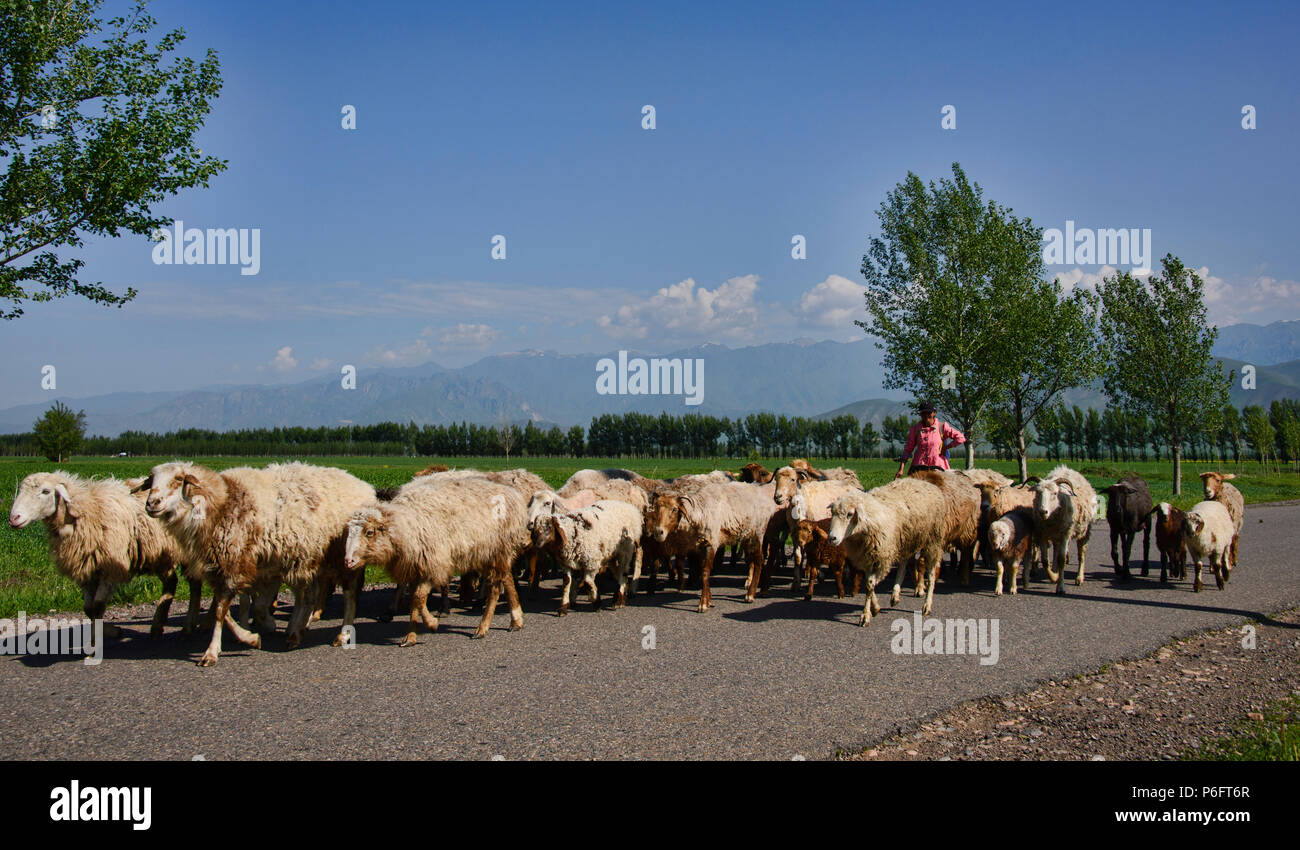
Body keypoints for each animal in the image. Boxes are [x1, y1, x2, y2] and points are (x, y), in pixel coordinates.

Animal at [9, 470, 202, 649]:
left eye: (46, 491)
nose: (13, 518)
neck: (88, 509)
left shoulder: (111, 569)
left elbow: (98, 605)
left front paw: (97, 642)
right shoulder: (87, 569)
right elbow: (88, 609)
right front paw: (110, 631)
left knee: (193, 585)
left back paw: (186, 628)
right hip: (161, 556)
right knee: (172, 583)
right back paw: (158, 626)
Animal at [141, 462, 377, 670]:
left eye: (177, 480)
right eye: (152, 480)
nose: (151, 503)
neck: (220, 503)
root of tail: (364, 486)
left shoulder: (238, 566)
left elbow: (227, 610)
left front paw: (216, 650)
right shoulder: (231, 568)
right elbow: (229, 609)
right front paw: (252, 634)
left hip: (343, 558)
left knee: (348, 596)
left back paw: (341, 634)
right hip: (304, 558)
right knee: (307, 596)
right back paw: (296, 631)